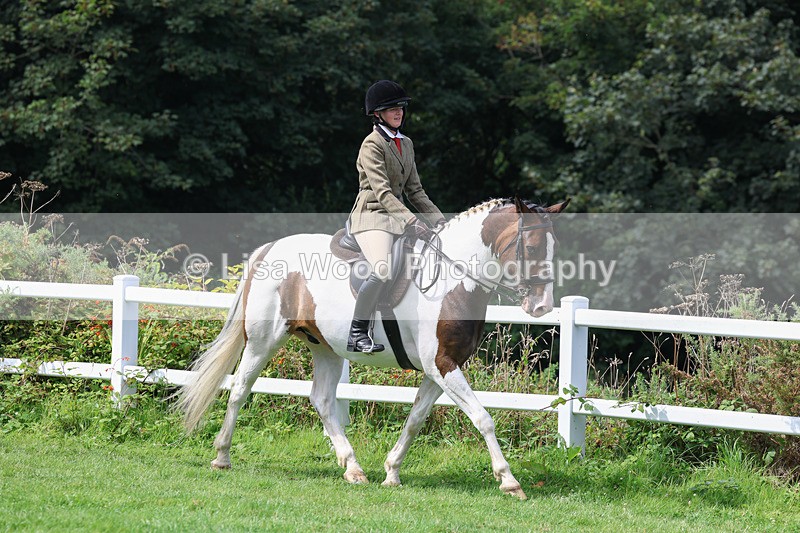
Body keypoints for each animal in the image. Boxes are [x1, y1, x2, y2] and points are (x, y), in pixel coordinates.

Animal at [177, 197, 569, 500]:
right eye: (532, 248)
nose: (541, 307)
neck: (452, 280)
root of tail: (268, 249)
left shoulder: (439, 367)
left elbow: (416, 419)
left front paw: (392, 472)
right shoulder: (442, 364)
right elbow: (483, 418)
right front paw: (509, 481)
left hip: (326, 348)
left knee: (321, 400)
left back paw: (352, 468)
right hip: (262, 341)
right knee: (239, 389)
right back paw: (222, 456)